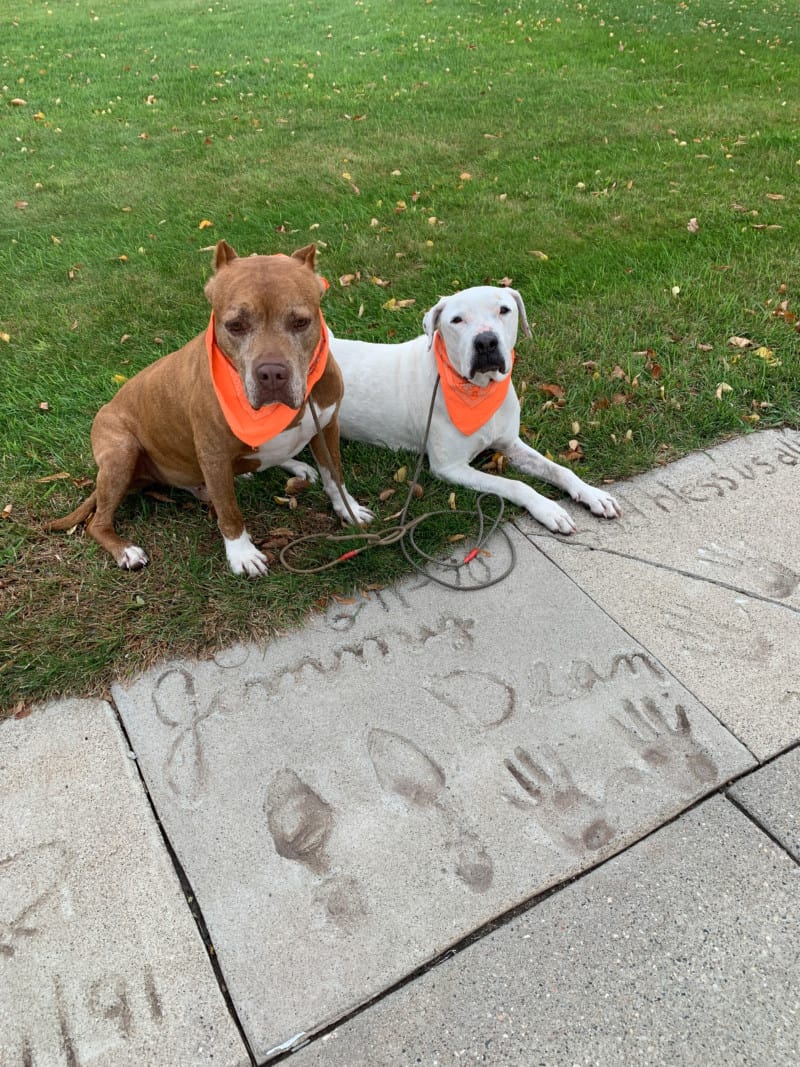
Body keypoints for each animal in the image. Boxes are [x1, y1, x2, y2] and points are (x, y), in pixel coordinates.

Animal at [48, 244, 375, 576]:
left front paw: (348, 509)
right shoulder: (213, 453)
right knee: (97, 523)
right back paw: (125, 550)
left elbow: (335, 475)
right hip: (121, 452)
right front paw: (242, 554)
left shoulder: (327, 426)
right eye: (235, 325)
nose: (272, 374)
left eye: (300, 322)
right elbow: (229, 512)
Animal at [328, 288, 622, 533]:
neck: (479, 390)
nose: (486, 342)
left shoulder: (511, 444)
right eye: (456, 320)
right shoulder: (450, 467)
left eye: (504, 310)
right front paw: (548, 509)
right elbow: (514, 484)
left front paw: (592, 494)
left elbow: (559, 470)